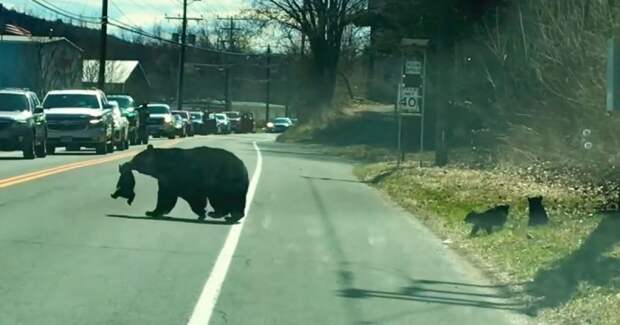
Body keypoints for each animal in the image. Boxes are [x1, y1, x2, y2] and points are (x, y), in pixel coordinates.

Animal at [120, 145, 248, 223]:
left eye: (136, 158)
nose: (127, 164)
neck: (162, 165)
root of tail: (243, 167)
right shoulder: (167, 180)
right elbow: (168, 196)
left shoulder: (179, 177)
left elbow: (173, 197)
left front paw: (151, 212)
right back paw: (232, 216)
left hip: (224, 182)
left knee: (221, 199)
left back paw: (218, 214)